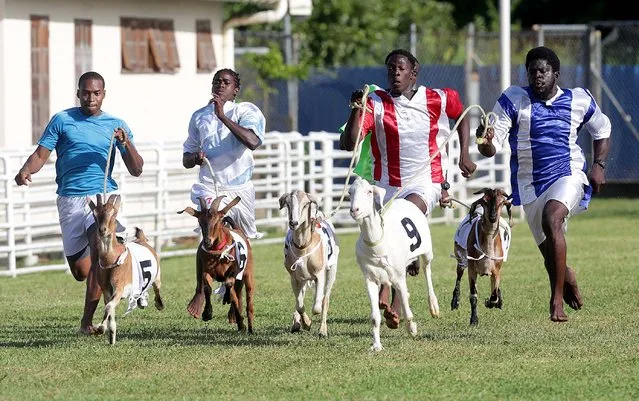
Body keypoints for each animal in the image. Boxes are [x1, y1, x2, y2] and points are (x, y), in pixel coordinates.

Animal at [87, 194, 165, 344]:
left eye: (114, 214)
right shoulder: (107, 290)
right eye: (95, 214)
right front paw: (110, 336)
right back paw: (141, 301)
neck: (112, 260)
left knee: (157, 287)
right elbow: (109, 309)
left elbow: (108, 307)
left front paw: (100, 328)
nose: (102, 230)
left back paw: (159, 304)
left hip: (157, 275)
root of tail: (142, 240)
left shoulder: (119, 288)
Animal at [178, 195, 255, 332]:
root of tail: (237, 228)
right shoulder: (207, 271)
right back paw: (240, 323)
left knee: (248, 296)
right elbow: (207, 287)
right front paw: (207, 313)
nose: (207, 241)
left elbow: (229, 284)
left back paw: (249, 327)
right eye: (200, 222)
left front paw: (226, 298)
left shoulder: (233, 272)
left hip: (247, 273)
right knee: (236, 296)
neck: (218, 253)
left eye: (217, 221)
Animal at [452, 188, 512, 324]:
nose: (493, 217)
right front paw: (474, 320)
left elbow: (494, 295)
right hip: (461, 258)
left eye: (501, 202)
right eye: (484, 201)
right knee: (459, 275)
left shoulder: (496, 270)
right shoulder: (472, 270)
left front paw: (491, 302)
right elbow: (473, 295)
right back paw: (455, 301)